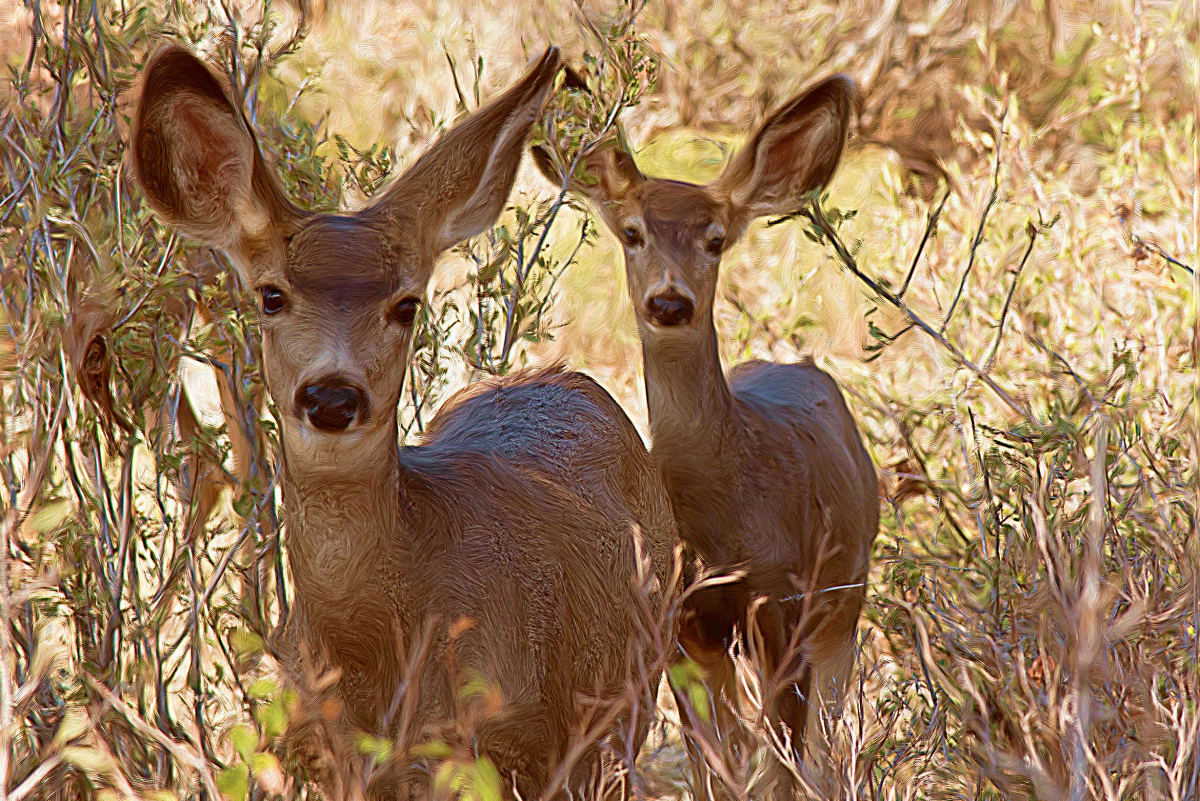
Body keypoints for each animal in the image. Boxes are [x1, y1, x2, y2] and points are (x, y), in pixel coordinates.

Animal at [130, 43, 681, 801]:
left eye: (406, 304)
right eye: (271, 295)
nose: (332, 397)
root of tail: (569, 377)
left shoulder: (478, 743)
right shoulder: (315, 750)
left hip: (627, 697)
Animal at [535, 73, 883, 796]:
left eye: (716, 238)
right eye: (632, 232)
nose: (670, 301)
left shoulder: (785, 603)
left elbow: (783, 763)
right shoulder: (684, 625)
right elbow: (713, 766)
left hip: (846, 600)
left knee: (831, 740)